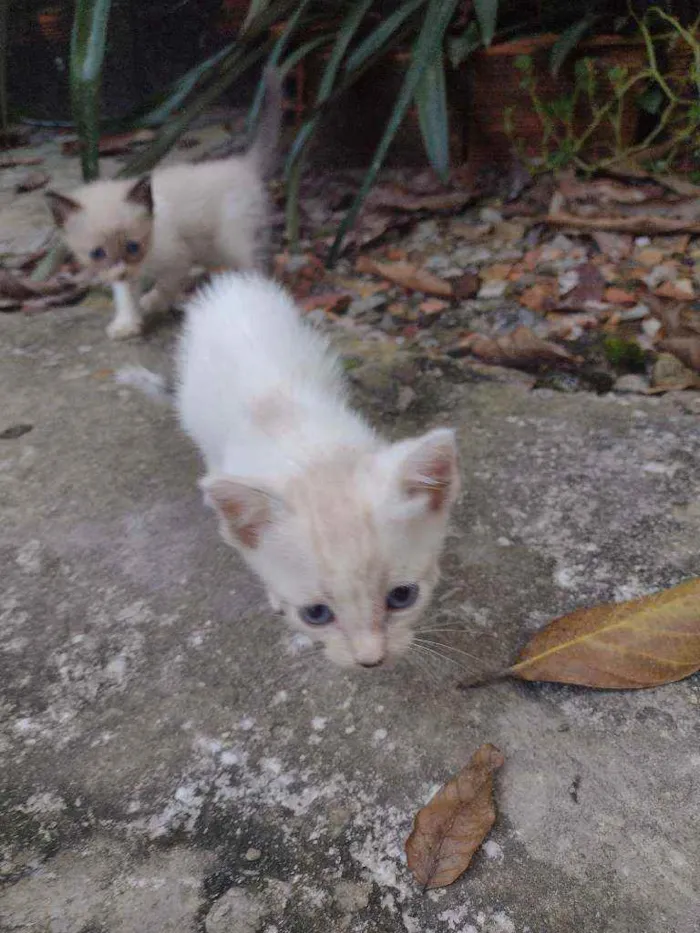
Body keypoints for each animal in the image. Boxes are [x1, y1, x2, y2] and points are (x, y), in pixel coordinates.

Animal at [44, 69, 282, 340]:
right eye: (97, 254)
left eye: (133, 247)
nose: (122, 272)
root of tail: (242, 163)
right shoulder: (127, 274)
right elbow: (125, 296)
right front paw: (127, 324)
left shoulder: (178, 261)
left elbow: (164, 288)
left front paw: (150, 303)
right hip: (214, 249)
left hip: (233, 240)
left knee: (256, 265)